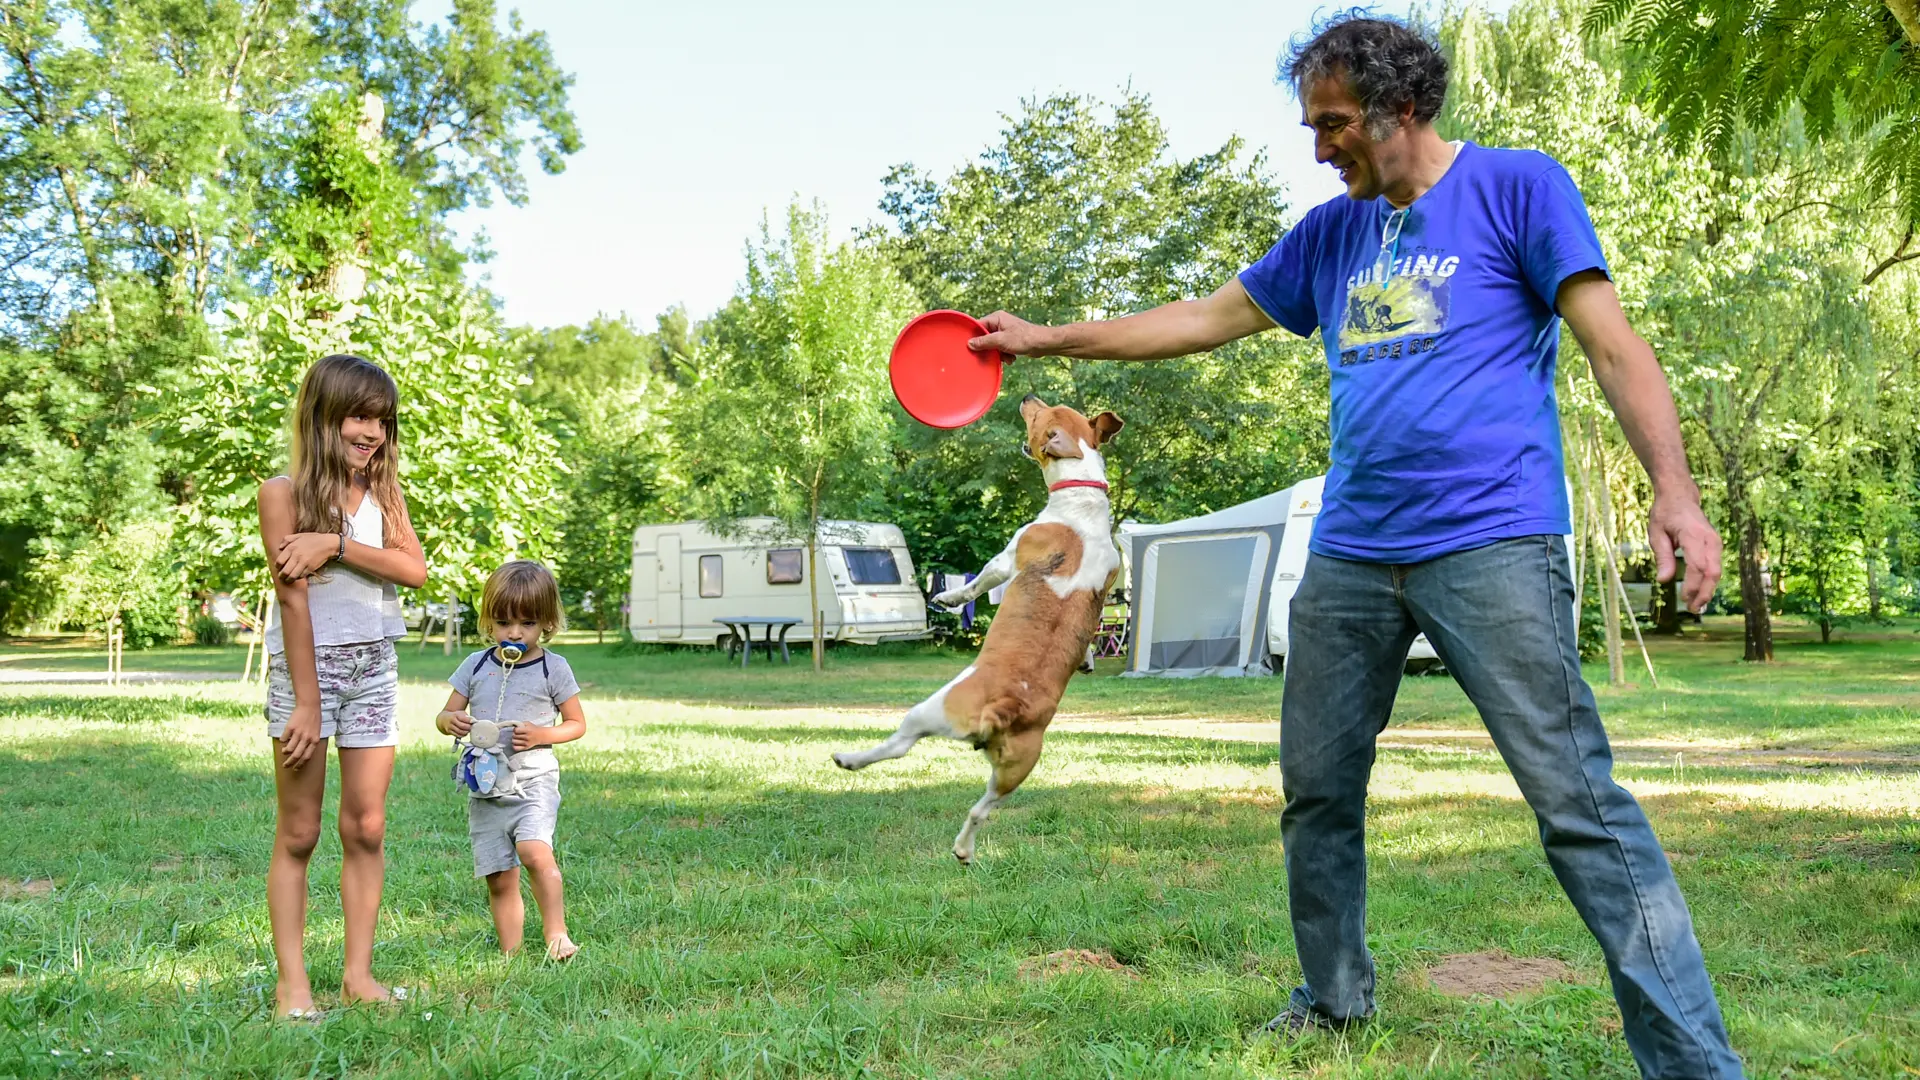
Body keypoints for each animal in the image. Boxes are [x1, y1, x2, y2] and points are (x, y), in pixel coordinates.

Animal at [829, 393, 1121, 857]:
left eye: (1040, 415)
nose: (1028, 397)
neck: (1082, 493)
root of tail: (1005, 707)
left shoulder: (1005, 561)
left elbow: (978, 584)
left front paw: (948, 599)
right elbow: (1092, 630)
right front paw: (1089, 658)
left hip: (928, 712)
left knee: (897, 747)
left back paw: (850, 759)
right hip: (1015, 771)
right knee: (980, 810)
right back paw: (964, 849)